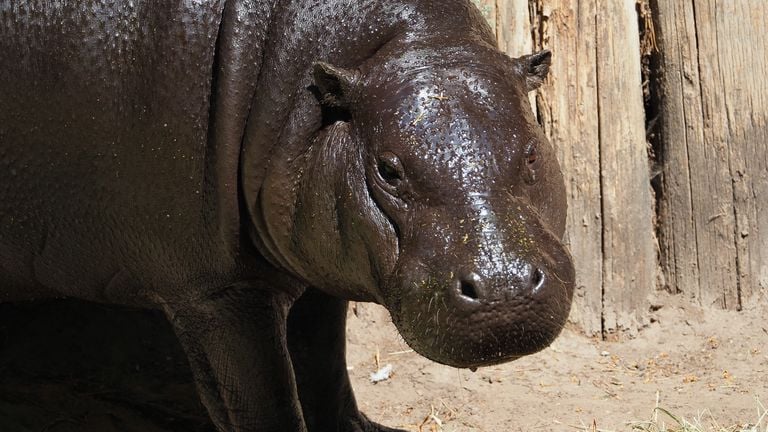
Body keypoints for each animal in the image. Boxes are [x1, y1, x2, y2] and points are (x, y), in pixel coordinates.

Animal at [0, 0, 572, 432]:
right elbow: (263, 401)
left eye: (531, 151)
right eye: (388, 170)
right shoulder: (218, 290)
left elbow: (324, 365)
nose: (504, 289)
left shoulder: (321, 255)